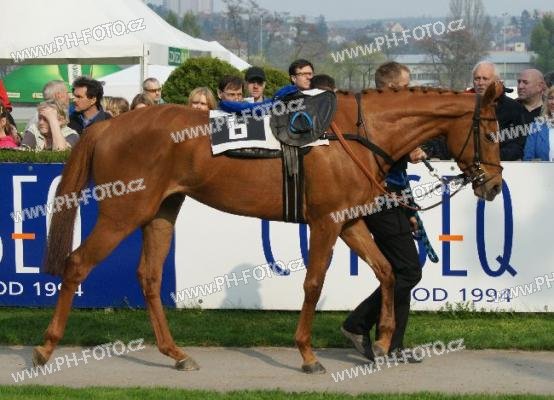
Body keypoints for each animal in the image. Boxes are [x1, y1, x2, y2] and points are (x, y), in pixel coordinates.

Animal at [33, 81, 504, 374]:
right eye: (491, 132)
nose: (495, 185)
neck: (356, 133)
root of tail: (108, 126)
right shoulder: (326, 222)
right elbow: (314, 283)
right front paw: (308, 354)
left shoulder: (349, 220)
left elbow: (387, 271)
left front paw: (384, 340)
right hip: (122, 212)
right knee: (77, 264)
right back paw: (45, 347)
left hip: (161, 211)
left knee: (148, 276)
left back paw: (177, 354)